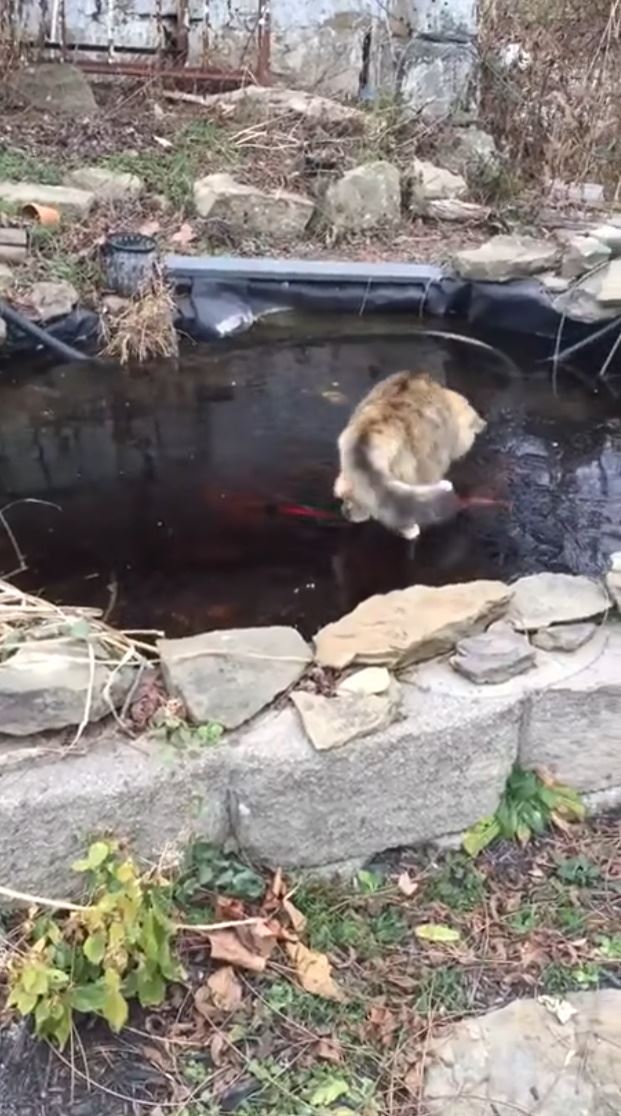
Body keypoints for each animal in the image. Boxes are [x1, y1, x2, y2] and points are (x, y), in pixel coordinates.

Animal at [334, 370, 486, 539]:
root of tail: (372, 430)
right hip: (407, 473)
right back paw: (409, 528)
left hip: (354, 475)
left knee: (350, 493)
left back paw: (354, 512)